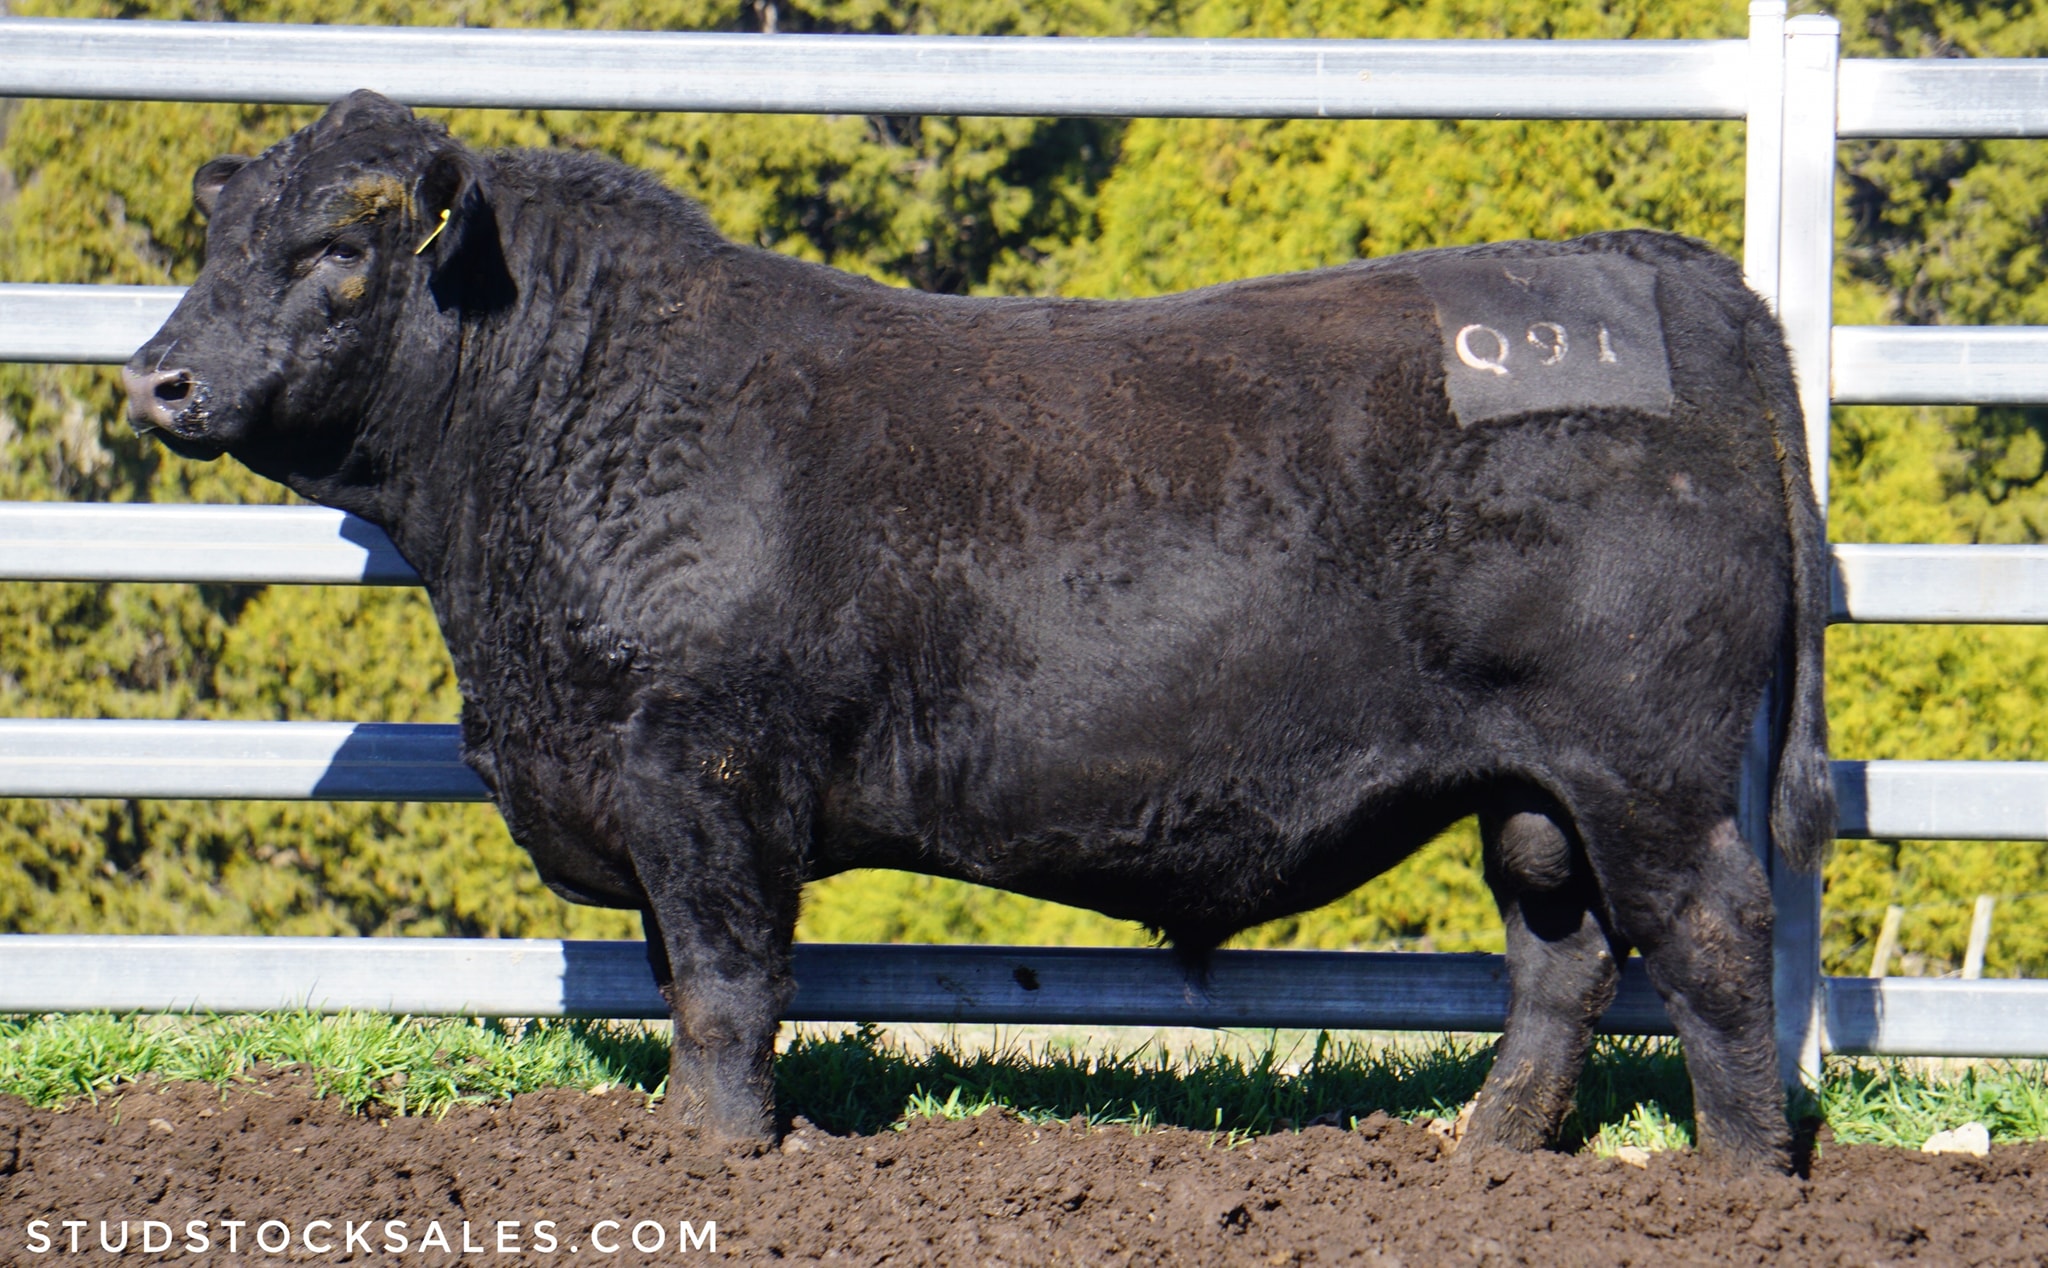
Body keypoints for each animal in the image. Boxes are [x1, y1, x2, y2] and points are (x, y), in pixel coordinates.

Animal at [124, 91, 1832, 1173]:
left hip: (1649, 770)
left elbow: (727, 986)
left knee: (1712, 935)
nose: (157, 379)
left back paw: (1740, 1187)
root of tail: (1655, 267)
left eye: (336, 253)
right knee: (1561, 958)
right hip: (1535, 791)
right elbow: (681, 979)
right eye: (212, 247)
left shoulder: (708, 774)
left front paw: (719, 1159)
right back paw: (1485, 1157)